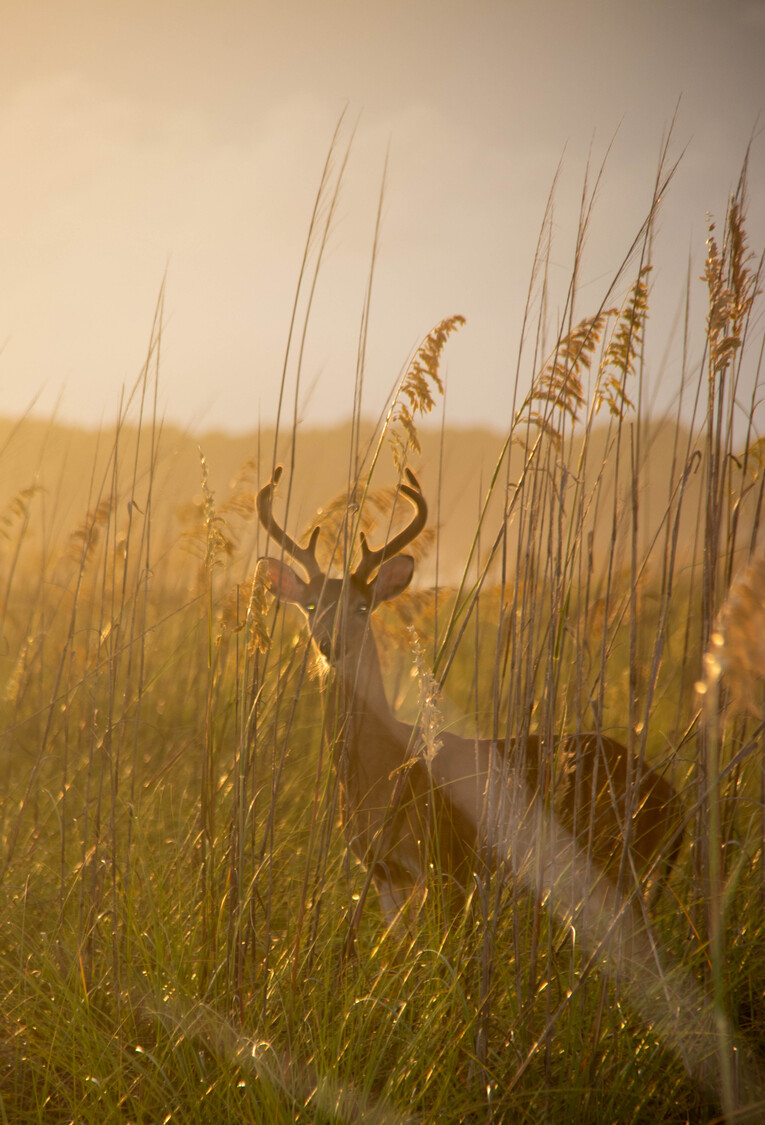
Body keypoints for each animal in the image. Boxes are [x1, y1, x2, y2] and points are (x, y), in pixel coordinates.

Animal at [256, 463, 679, 931]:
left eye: (363, 607)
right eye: (311, 606)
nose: (331, 645)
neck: (383, 774)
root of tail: (674, 800)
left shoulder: (449, 861)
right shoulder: (384, 873)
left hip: (616, 862)